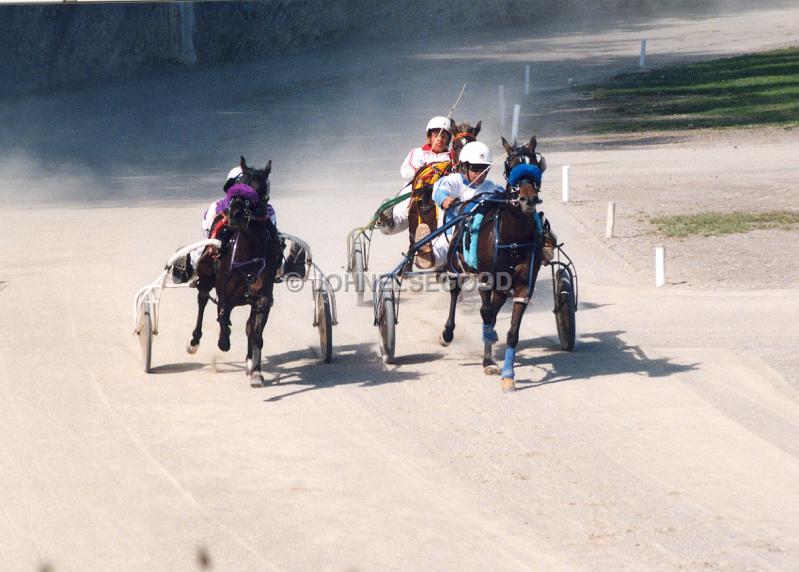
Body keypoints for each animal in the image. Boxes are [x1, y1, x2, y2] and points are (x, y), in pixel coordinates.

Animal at [187, 158, 282, 384]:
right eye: (238, 185)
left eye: (260, 190)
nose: (236, 214)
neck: (248, 256)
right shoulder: (225, 294)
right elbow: (222, 319)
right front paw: (224, 340)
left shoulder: (262, 297)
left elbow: (255, 332)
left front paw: (255, 370)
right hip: (206, 275)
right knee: (202, 299)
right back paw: (194, 341)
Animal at [440, 135, 548, 394]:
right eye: (511, 166)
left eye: (535, 165)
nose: (528, 199)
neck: (514, 237)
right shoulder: (487, 278)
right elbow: (486, 313)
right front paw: (489, 348)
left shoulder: (523, 287)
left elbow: (512, 332)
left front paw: (508, 375)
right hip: (454, 264)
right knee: (456, 293)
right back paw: (449, 333)